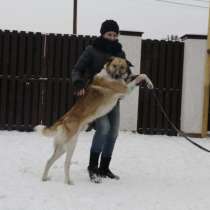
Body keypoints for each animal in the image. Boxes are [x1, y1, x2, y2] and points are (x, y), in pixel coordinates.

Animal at [33, 56, 153, 185]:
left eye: (122, 67)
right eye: (114, 65)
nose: (116, 76)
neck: (109, 75)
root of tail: (62, 120)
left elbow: (142, 74)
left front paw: (149, 83)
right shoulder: (125, 89)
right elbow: (140, 76)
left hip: (62, 148)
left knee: (49, 160)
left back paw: (45, 178)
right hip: (70, 145)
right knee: (66, 163)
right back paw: (68, 182)